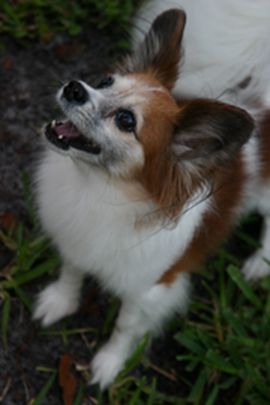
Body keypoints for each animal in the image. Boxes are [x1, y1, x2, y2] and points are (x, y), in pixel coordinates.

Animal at [33, 1, 270, 390]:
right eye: (104, 82)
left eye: (126, 121)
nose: (74, 88)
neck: (99, 188)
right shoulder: (76, 242)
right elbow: (71, 272)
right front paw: (60, 301)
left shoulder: (149, 289)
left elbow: (125, 327)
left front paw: (110, 363)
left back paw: (259, 263)